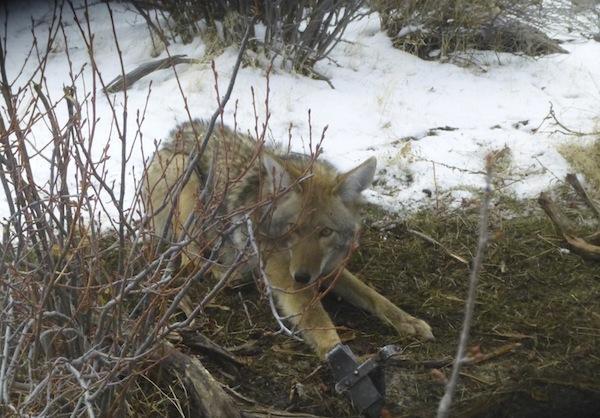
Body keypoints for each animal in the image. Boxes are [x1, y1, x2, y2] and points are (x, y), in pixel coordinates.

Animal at [144, 120, 433, 359]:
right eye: (293, 229)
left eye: (325, 232)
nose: (303, 277)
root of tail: (173, 135)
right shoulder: (286, 279)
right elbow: (317, 318)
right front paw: (340, 353)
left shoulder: (329, 270)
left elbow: (373, 296)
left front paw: (408, 321)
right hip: (189, 183)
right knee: (189, 259)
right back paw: (228, 275)